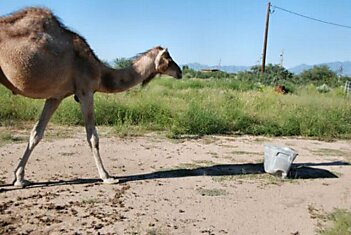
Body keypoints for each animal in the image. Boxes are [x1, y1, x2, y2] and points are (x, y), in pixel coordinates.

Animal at [0, 6, 182, 187]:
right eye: (169, 58)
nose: (180, 72)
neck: (100, 72)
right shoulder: (85, 91)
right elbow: (93, 137)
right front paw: (107, 177)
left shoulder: (56, 96)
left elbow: (36, 134)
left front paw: (19, 178)